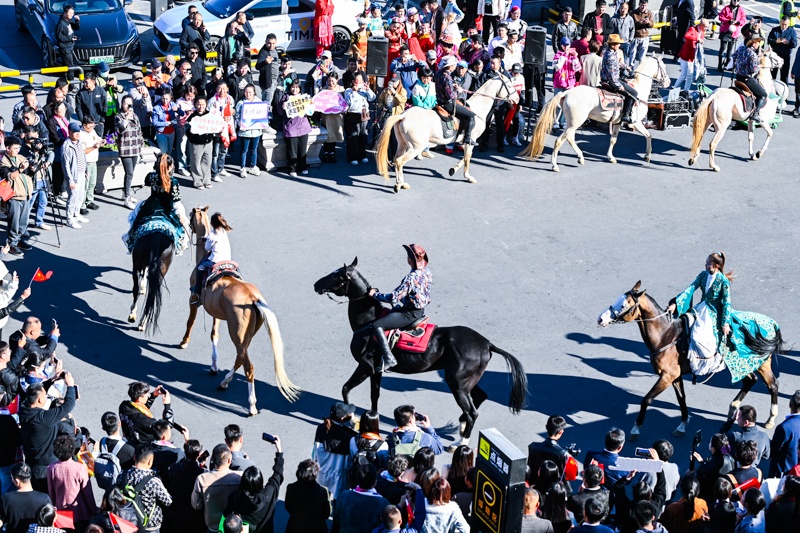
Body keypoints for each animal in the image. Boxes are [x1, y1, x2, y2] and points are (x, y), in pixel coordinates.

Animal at [314, 256, 532, 446]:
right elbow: (374, 396)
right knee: (480, 397)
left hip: (457, 384)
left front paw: (349, 418)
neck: (368, 322)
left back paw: (461, 442)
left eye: (336, 275)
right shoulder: (376, 370)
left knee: (473, 413)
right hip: (466, 381)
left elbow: (346, 388)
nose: (316, 284)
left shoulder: (365, 366)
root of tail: (486, 343)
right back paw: (461, 425)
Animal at [376, 75, 520, 191]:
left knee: (396, 159)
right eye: (509, 84)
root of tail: (404, 115)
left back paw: (401, 184)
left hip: (403, 144)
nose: (518, 98)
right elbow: (467, 157)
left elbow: (465, 157)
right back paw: (398, 186)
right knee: (399, 161)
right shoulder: (470, 141)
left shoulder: (466, 142)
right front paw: (468, 177)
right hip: (416, 147)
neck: (477, 109)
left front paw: (453, 170)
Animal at [520, 54, 672, 171]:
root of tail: (567, 92)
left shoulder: (617, 123)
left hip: (572, 123)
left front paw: (611, 157)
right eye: (664, 67)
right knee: (559, 141)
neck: (639, 90)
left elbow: (613, 139)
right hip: (575, 122)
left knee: (570, 138)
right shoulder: (636, 122)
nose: (668, 82)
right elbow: (648, 135)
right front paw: (647, 156)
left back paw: (580, 157)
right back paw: (555, 165)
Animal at [600, 280, 780, 438]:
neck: (666, 335)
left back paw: (770, 418)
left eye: (625, 304)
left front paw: (636, 429)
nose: (601, 319)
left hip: (758, 364)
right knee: (752, 380)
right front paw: (682, 425)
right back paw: (733, 410)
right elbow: (681, 399)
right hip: (743, 365)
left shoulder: (667, 376)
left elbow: (646, 400)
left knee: (772, 384)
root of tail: (771, 323)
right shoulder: (675, 376)